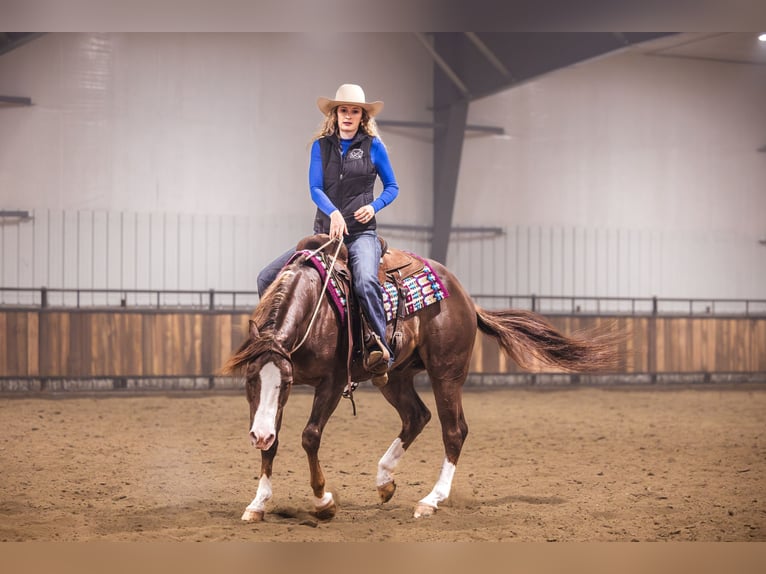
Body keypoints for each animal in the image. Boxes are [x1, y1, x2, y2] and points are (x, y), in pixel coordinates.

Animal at [222, 234, 618, 522]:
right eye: (250, 380)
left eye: (286, 383)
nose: (257, 435)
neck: (316, 309)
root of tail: (466, 299)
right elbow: (273, 442)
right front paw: (257, 503)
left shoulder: (332, 383)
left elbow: (310, 436)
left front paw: (324, 502)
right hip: (394, 375)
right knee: (417, 416)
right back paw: (384, 481)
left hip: (446, 373)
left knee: (454, 430)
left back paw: (431, 499)